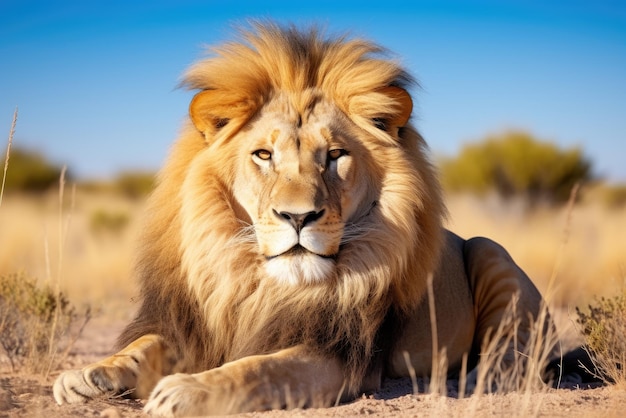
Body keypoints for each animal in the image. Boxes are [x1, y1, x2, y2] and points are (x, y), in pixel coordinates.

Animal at [53, 23, 584, 418]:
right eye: (263, 155)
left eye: (334, 156)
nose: (298, 216)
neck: (260, 282)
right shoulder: (197, 323)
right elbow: (144, 345)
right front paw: (86, 375)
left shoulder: (337, 356)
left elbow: (258, 369)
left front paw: (186, 390)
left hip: (490, 251)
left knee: (519, 359)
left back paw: (470, 378)